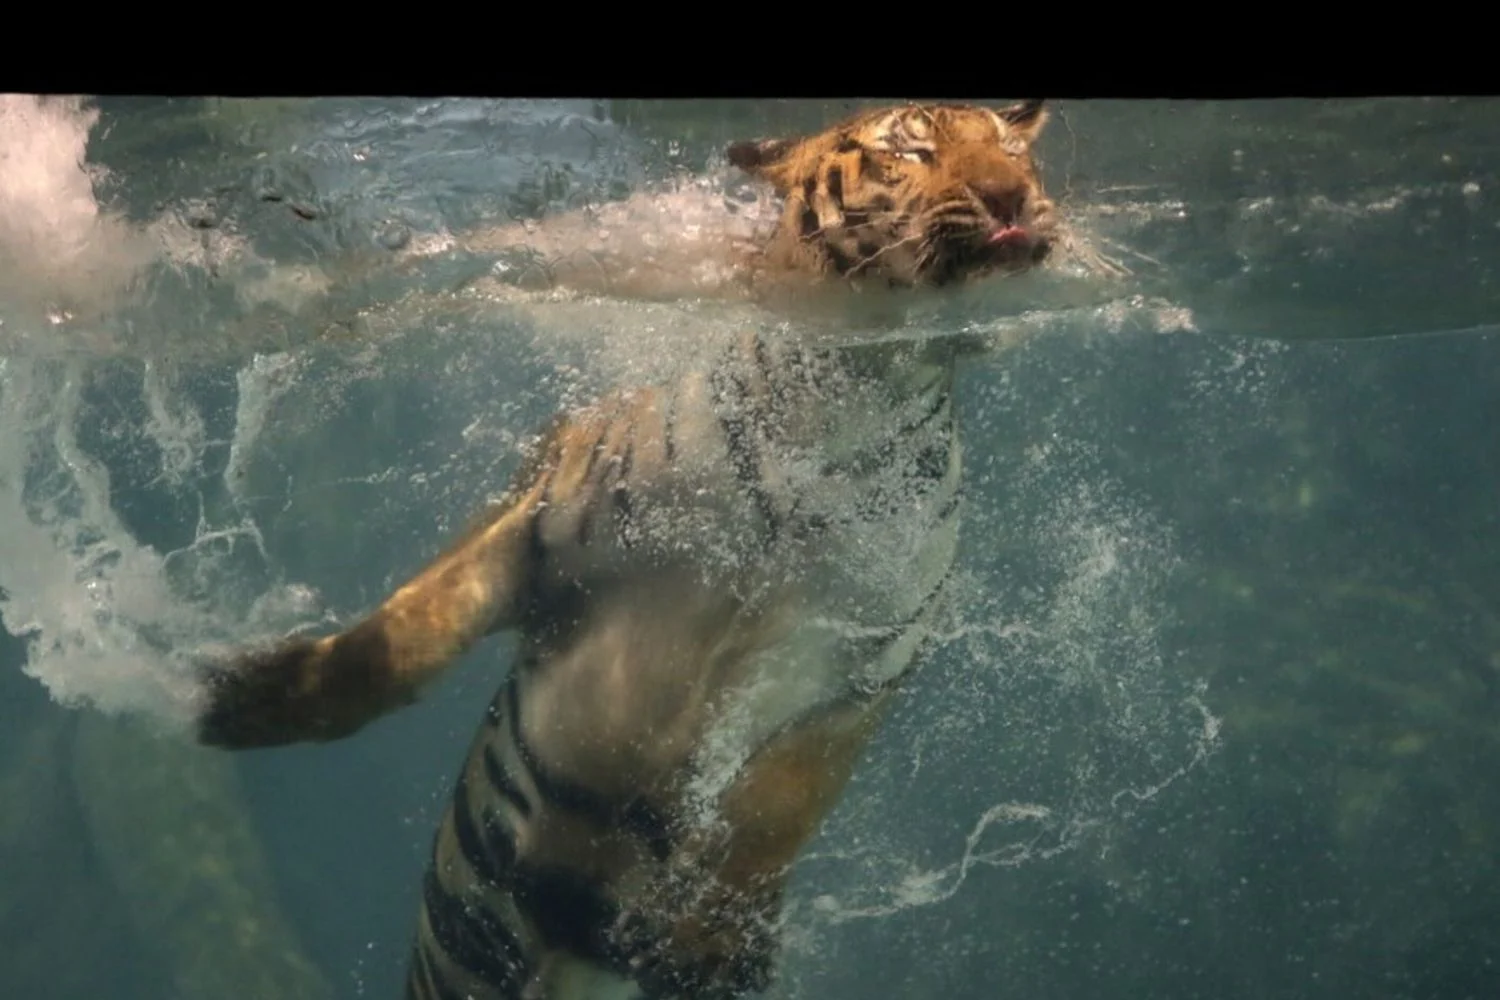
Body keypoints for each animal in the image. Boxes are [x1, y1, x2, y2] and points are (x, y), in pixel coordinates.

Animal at [195, 99, 1060, 1000]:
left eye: (1013, 148)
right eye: (911, 150)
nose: (1012, 197)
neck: (859, 390)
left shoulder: (863, 663)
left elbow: (776, 806)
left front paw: (703, 936)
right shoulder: (541, 514)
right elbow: (403, 636)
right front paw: (236, 701)